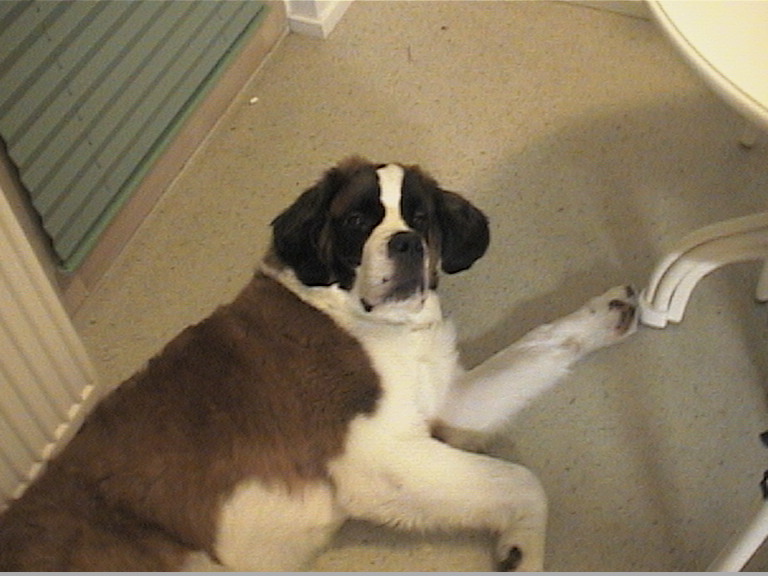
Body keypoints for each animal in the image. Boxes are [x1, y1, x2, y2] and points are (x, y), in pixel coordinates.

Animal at [0, 157, 637, 571]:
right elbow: (521, 480)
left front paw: (606, 312)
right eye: (357, 220)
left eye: (420, 217)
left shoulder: (446, 405)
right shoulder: (380, 460)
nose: (406, 243)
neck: (358, 315)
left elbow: (541, 343)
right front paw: (523, 552)